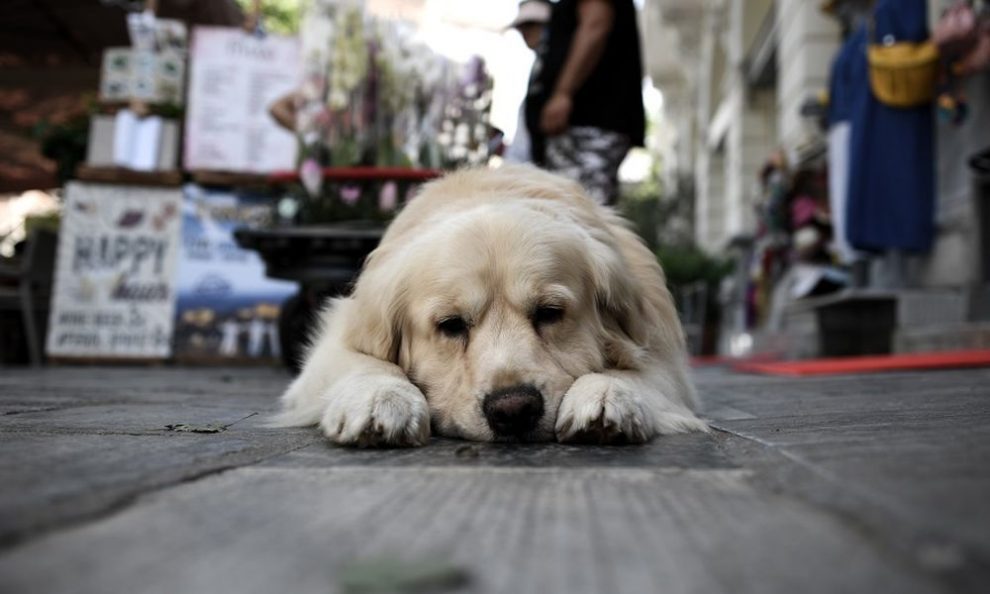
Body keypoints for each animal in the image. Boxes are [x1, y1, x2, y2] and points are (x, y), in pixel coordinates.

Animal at [276, 164, 708, 442]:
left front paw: (605, 396)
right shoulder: (339, 337)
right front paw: (381, 399)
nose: (513, 410)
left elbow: (635, 371)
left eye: (550, 313)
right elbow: (367, 362)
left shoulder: (660, 347)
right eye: (451, 325)